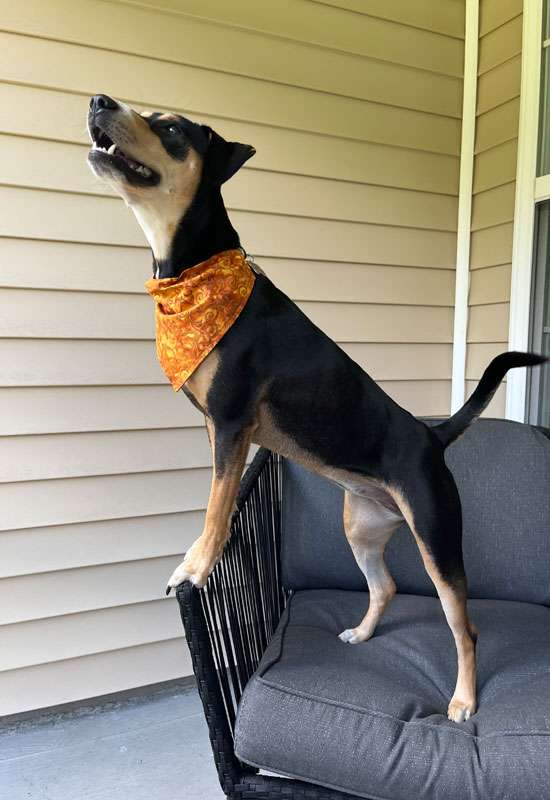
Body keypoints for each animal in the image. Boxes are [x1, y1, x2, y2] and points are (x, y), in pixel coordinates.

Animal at [87, 95, 548, 724]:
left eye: (173, 128)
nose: (98, 101)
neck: (190, 271)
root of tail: (432, 438)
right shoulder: (216, 428)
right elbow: (217, 498)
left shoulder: (231, 423)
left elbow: (216, 504)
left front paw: (195, 567)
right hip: (362, 526)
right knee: (385, 586)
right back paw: (363, 631)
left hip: (436, 534)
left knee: (464, 627)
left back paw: (462, 701)